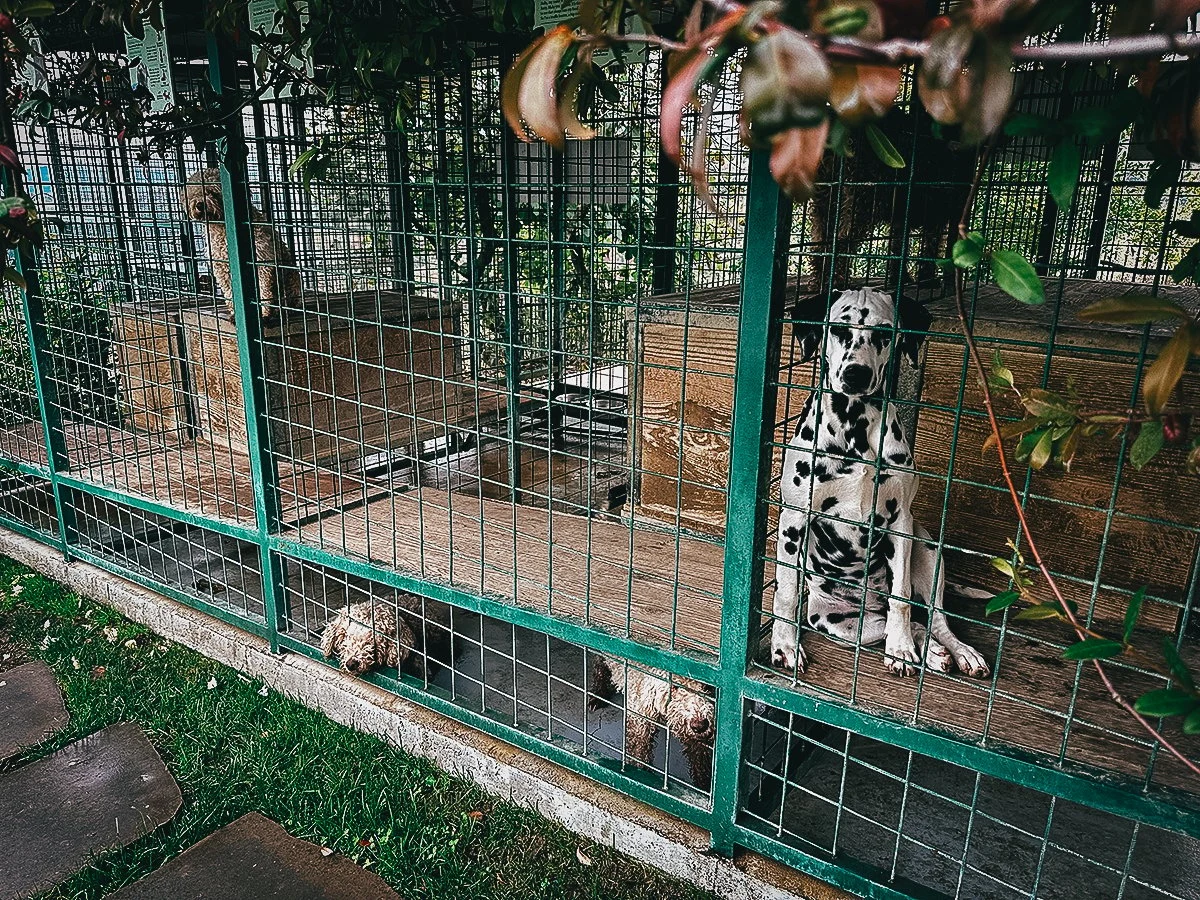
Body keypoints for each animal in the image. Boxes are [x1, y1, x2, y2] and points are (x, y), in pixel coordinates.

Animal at [183, 169, 304, 324]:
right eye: (194, 193)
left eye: (213, 192)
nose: (199, 205)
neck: (223, 229)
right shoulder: (222, 269)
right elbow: (230, 292)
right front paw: (235, 314)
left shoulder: (263, 262)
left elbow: (264, 291)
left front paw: (264, 314)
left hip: (290, 279)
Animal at [590, 657, 710, 787]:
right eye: (675, 686)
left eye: (707, 686)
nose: (700, 725)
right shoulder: (640, 718)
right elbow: (639, 753)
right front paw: (643, 775)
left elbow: (700, 758)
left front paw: (703, 785)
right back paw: (597, 695)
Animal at [772, 285, 988, 681]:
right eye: (838, 329)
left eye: (885, 333)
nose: (856, 374)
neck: (853, 426)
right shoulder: (793, 520)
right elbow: (786, 591)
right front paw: (785, 646)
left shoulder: (900, 523)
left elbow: (901, 597)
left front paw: (900, 649)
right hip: (836, 621)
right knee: (896, 623)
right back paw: (931, 652)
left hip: (926, 548)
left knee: (929, 619)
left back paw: (953, 651)